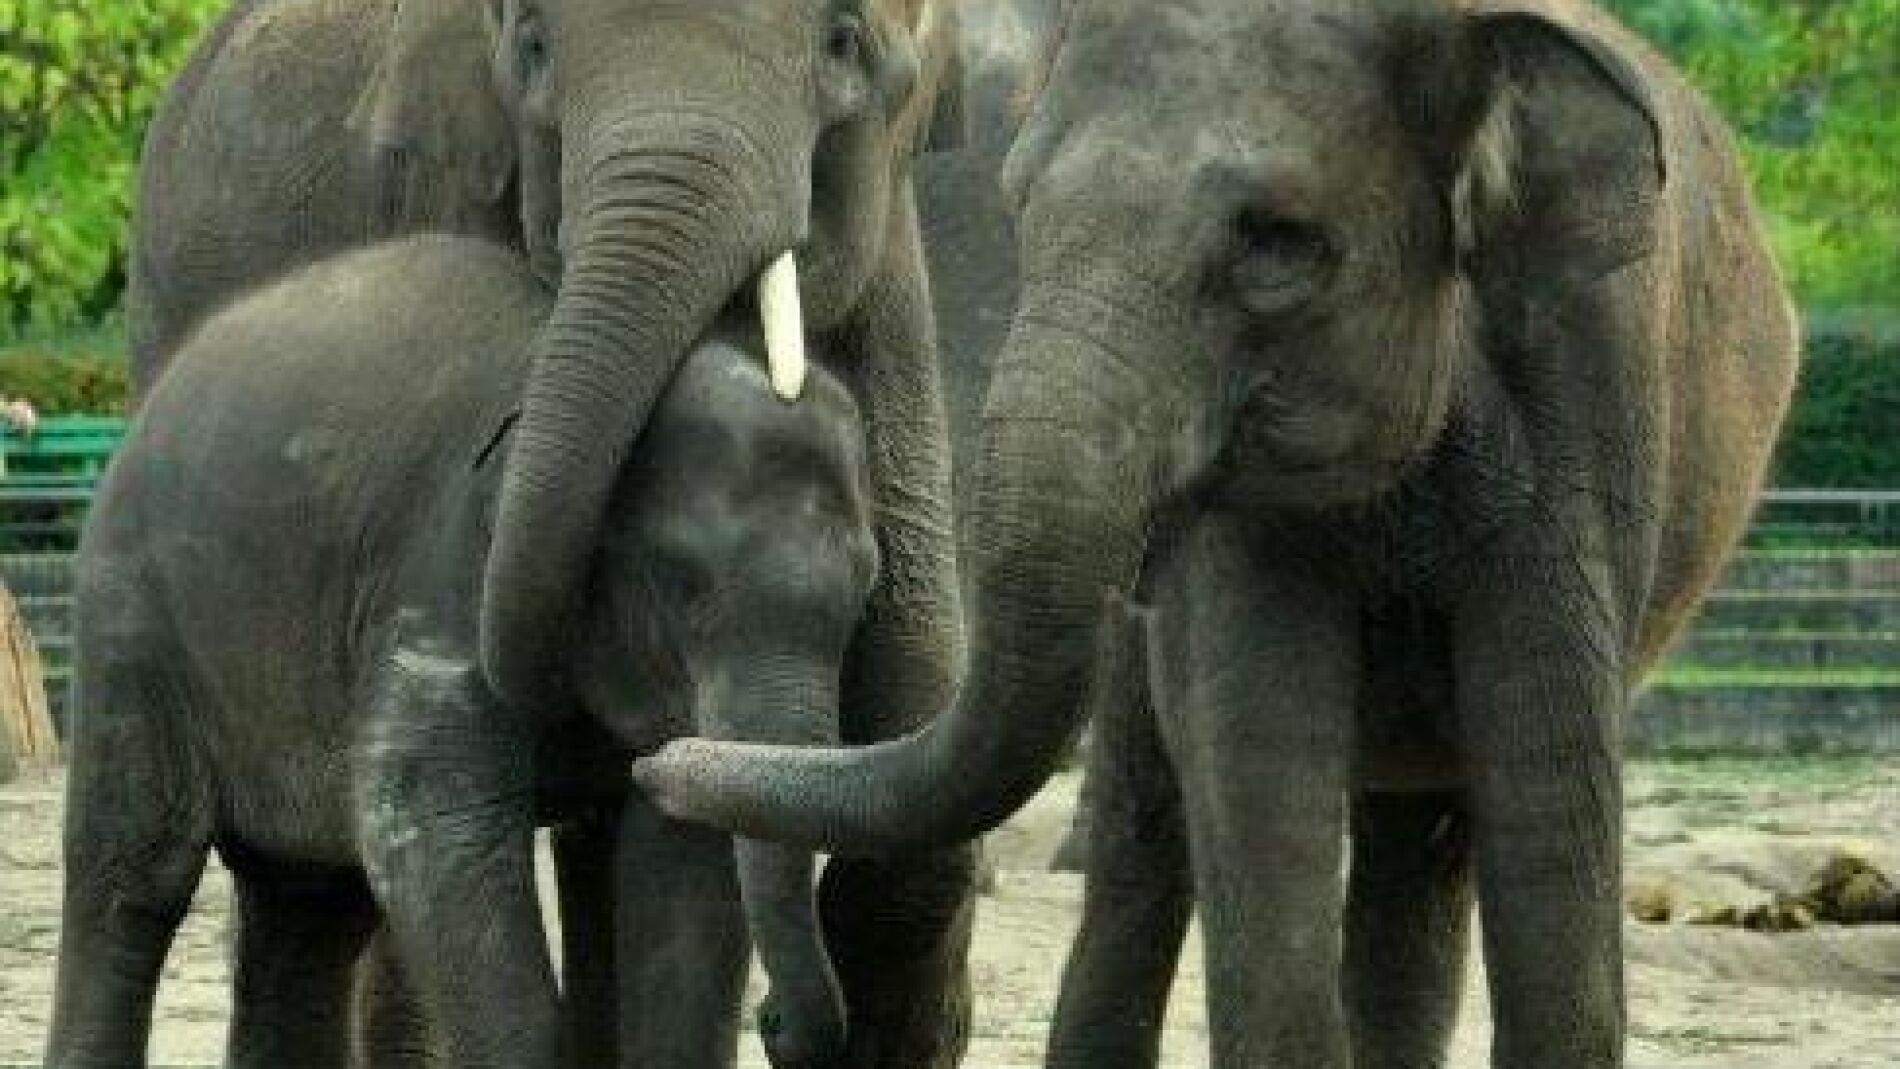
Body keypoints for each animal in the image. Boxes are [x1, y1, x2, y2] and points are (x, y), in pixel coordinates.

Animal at [48, 235, 887, 1069]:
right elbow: (434, 829)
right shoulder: (440, 577)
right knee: (134, 874)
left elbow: (685, 864)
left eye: (865, 588)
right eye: (681, 581)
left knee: (308, 901)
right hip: (129, 622)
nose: (772, 1022)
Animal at [634, 1, 1802, 1067]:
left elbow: (1548, 787)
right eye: (1022, 204)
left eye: (1278, 243)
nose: (661, 761)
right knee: (1153, 833)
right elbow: (1258, 763)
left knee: (1426, 840)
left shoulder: (1590, 392)